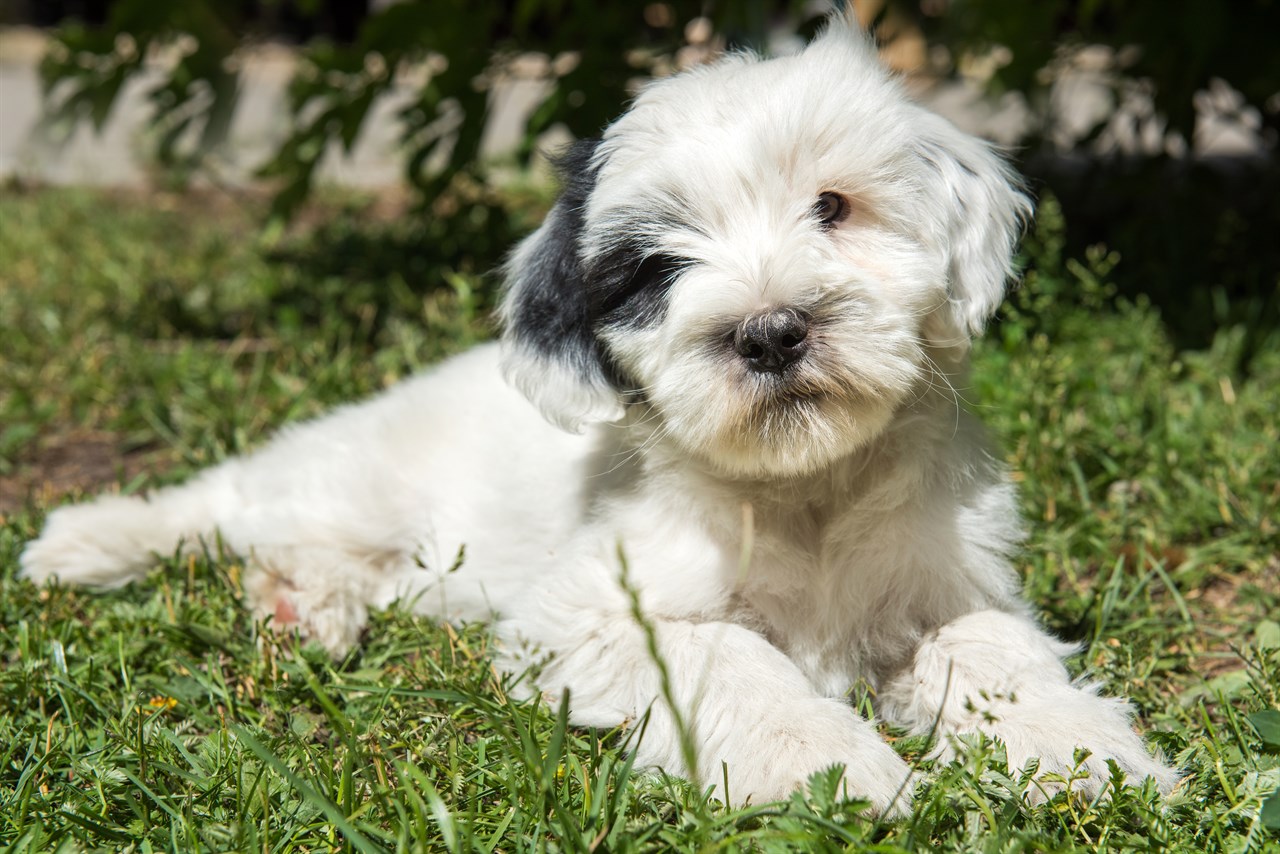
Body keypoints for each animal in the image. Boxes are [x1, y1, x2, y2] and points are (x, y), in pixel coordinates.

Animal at [20, 16, 1177, 814]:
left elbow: (987, 647)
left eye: (833, 208)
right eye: (655, 268)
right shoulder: (595, 614)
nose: (769, 333)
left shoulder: (948, 584)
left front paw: (1083, 754)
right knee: (227, 501)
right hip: (356, 474)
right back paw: (94, 539)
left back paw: (302, 607)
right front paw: (836, 768)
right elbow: (729, 659)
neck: (801, 492)